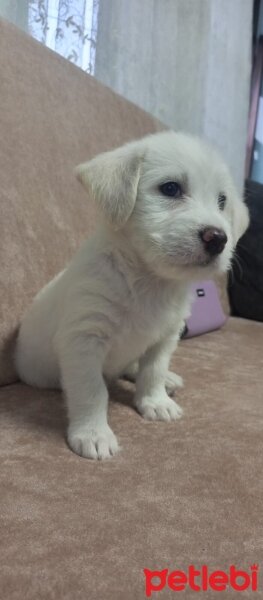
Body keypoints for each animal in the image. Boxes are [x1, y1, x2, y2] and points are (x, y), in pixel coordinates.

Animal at [14, 131, 250, 460]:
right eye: (170, 188)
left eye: (222, 200)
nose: (217, 239)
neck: (149, 281)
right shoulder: (83, 341)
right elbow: (92, 391)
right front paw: (93, 433)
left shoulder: (166, 337)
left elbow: (153, 370)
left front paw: (155, 401)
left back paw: (168, 380)